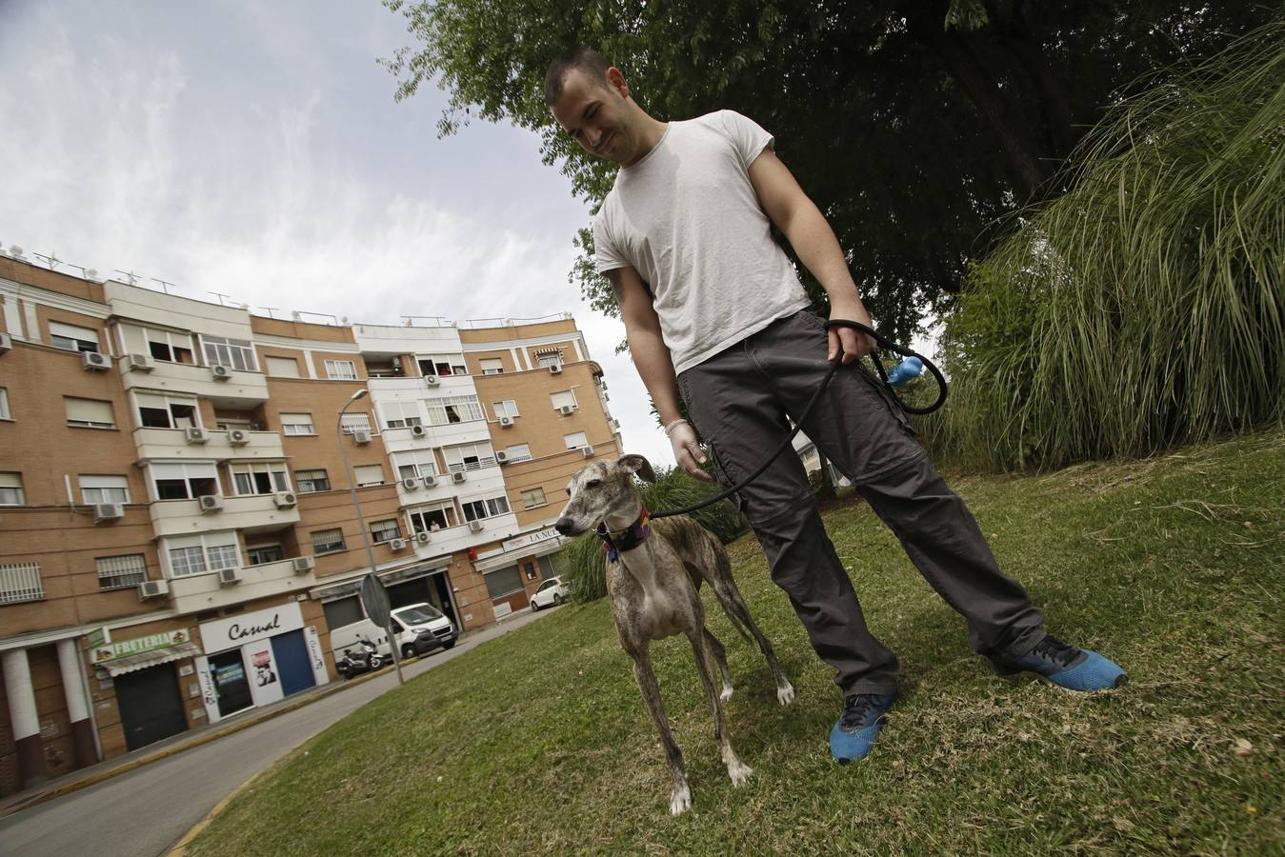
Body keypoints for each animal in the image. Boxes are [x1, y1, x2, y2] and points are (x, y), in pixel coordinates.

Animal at [552, 452, 791, 817]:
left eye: (594, 483)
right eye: (567, 491)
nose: (561, 525)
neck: (637, 559)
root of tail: (690, 520)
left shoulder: (691, 636)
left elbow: (717, 718)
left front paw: (735, 767)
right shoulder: (639, 660)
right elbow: (667, 738)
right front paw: (680, 791)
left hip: (726, 594)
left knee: (761, 640)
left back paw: (782, 688)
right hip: (701, 617)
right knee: (717, 646)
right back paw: (727, 687)